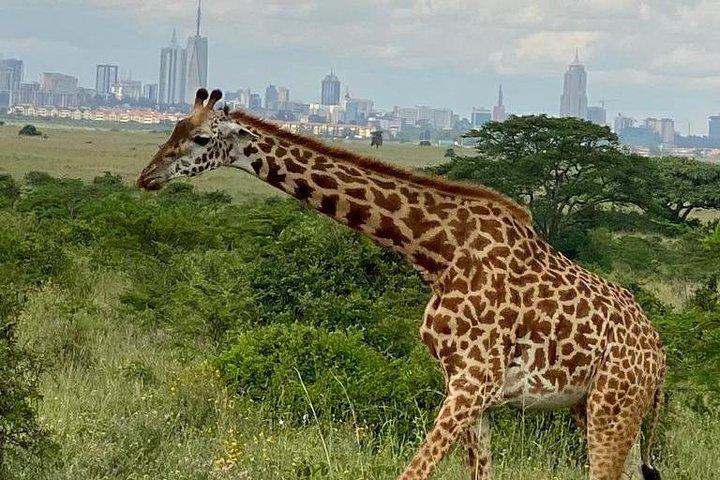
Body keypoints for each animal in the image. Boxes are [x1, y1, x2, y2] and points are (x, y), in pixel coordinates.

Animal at [138, 89, 666, 480]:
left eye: (201, 138)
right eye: (173, 129)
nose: (147, 176)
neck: (438, 254)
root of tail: (659, 352)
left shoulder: (473, 382)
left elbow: (413, 471)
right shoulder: (468, 388)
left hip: (613, 404)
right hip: (593, 406)